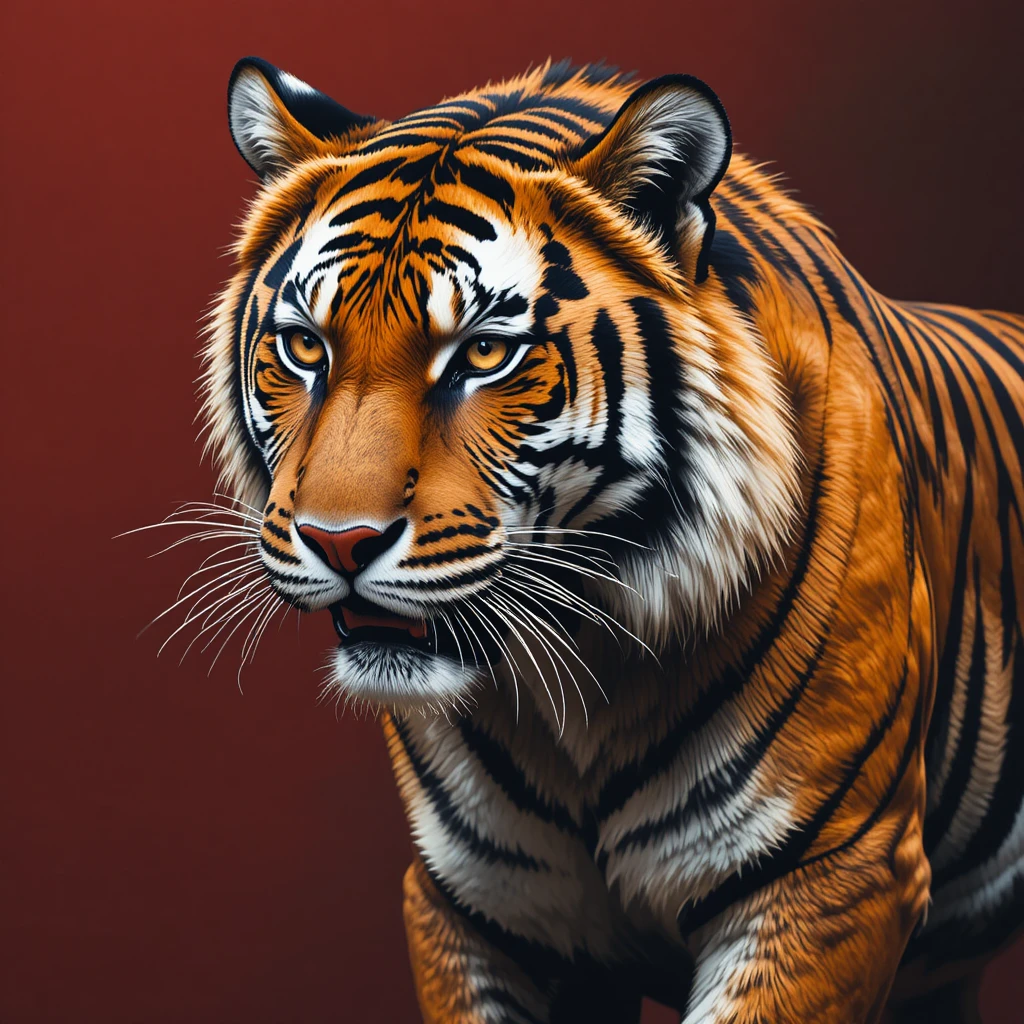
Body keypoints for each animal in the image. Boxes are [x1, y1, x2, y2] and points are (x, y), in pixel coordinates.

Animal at [192, 54, 1024, 1022]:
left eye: (484, 355)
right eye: (304, 347)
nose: (340, 542)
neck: (579, 695)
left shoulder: (834, 877)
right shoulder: (476, 903)